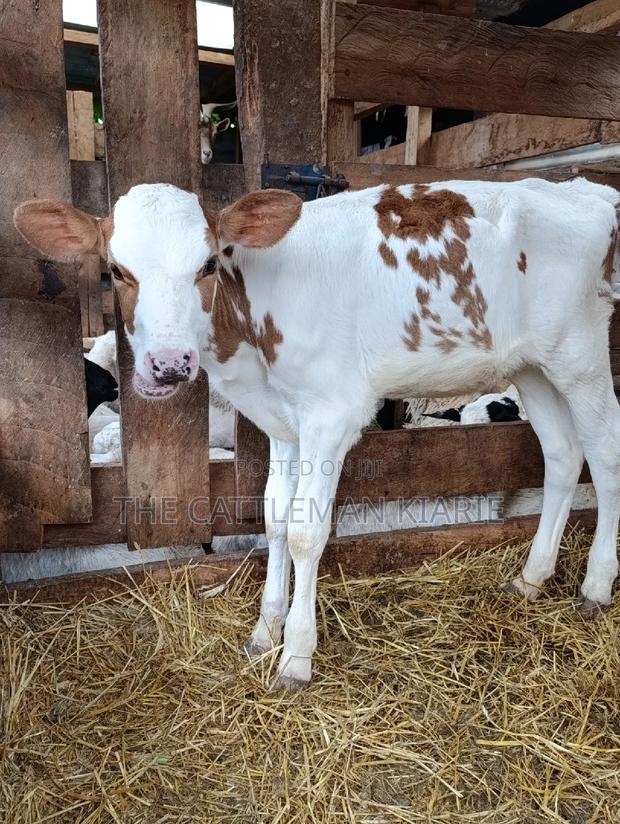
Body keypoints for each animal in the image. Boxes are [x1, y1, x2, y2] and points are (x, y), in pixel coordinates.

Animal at [14, 176, 620, 688]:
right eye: (115, 270)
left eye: (207, 264)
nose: (168, 364)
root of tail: (583, 188)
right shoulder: (282, 422)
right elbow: (275, 518)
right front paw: (265, 632)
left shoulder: (332, 414)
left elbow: (307, 531)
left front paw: (296, 655)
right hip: (531, 366)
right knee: (563, 454)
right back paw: (532, 577)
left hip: (581, 355)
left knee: (605, 455)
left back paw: (595, 584)